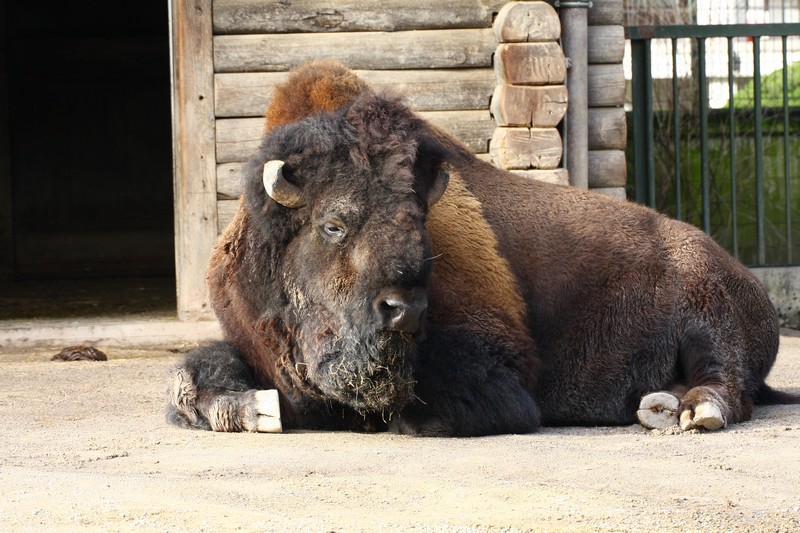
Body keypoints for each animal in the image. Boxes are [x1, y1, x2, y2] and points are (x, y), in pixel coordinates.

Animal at [167, 61, 797, 437]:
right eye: (333, 225)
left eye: (421, 222)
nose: (403, 309)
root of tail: (741, 275)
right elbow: (187, 376)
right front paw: (251, 408)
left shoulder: (494, 361)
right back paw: (657, 407)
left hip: (710, 317)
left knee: (726, 380)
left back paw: (692, 412)